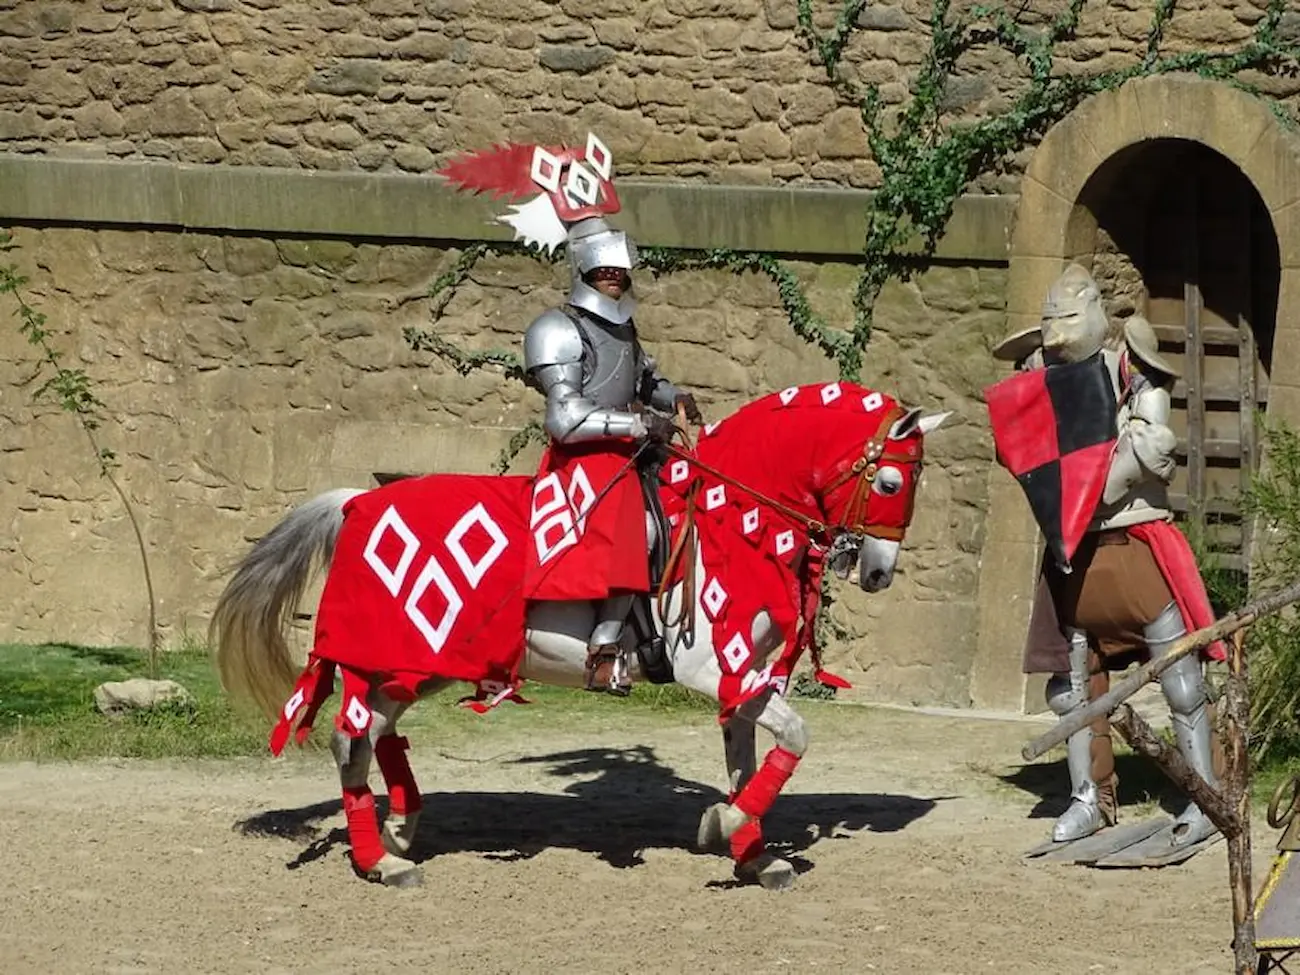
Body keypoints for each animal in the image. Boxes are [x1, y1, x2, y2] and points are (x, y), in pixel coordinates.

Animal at [210, 382, 946, 894]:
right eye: (889, 480)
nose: (877, 572)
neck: (733, 518)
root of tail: (358, 502)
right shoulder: (718, 670)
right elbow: (795, 737)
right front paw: (733, 827)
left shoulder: (744, 676)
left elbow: (746, 763)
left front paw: (752, 852)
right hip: (386, 660)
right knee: (350, 737)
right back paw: (379, 861)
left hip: (421, 665)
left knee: (379, 732)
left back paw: (400, 825)